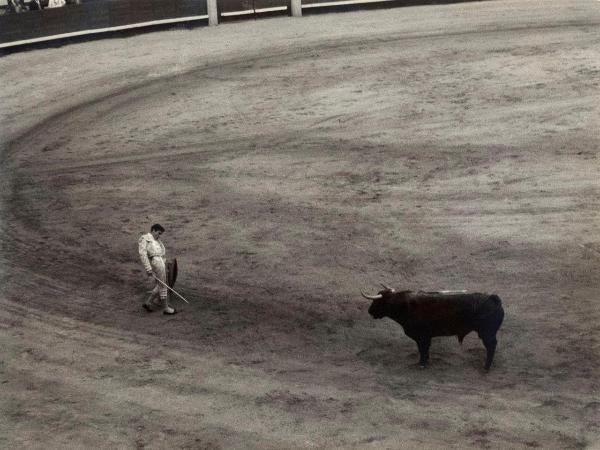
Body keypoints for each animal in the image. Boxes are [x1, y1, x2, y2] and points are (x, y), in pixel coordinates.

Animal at [364, 286, 504, 370]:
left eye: (377, 301)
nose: (369, 311)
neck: (405, 306)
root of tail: (493, 298)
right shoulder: (425, 337)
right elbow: (425, 350)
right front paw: (425, 361)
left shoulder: (422, 337)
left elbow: (422, 350)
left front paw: (422, 364)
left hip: (487, 333)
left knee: (491, 346)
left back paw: (486, 367)